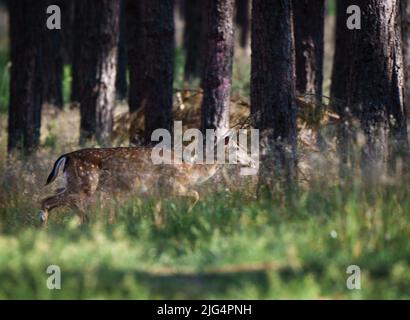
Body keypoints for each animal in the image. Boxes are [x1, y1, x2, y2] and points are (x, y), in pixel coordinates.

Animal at [38, 134, 256, 226]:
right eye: (237, 147)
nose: (252, 160)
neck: (189, 171)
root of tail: (66, 156)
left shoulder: (156, 193)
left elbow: (158, 212)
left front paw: (159, 225)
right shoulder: (171, 185)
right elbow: (196, 194)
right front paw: (187, 214)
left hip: (74, 183)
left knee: (59, 198)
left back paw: (84, 220)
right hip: (85, 183)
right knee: (47, 200)